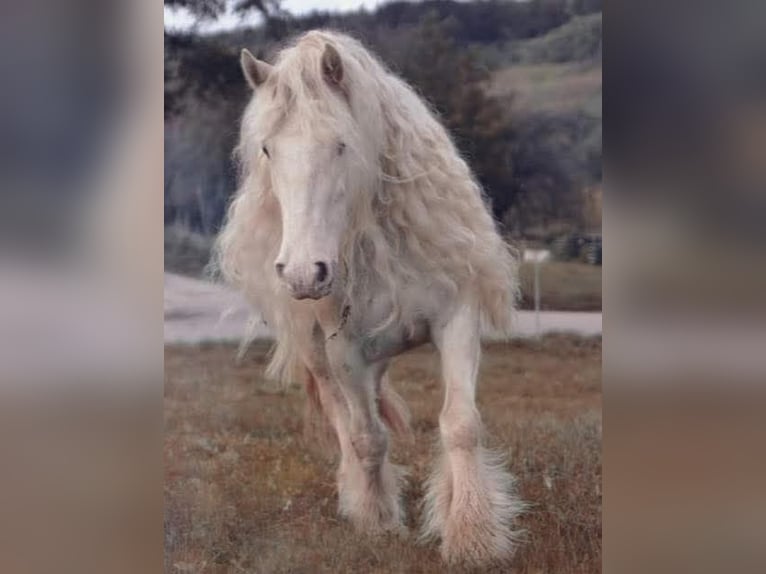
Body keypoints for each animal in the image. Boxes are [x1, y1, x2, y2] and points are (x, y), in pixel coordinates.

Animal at [216, 30, 523, 566]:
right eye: (268, 150)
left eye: (340, 144)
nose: (303, 273)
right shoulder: (345, 352)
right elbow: (365, 438)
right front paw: (377, 521)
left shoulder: (456, 319)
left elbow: (460, 424)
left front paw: (471, 533)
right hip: (321, 357)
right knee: (343, 420)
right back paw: (357, 496)